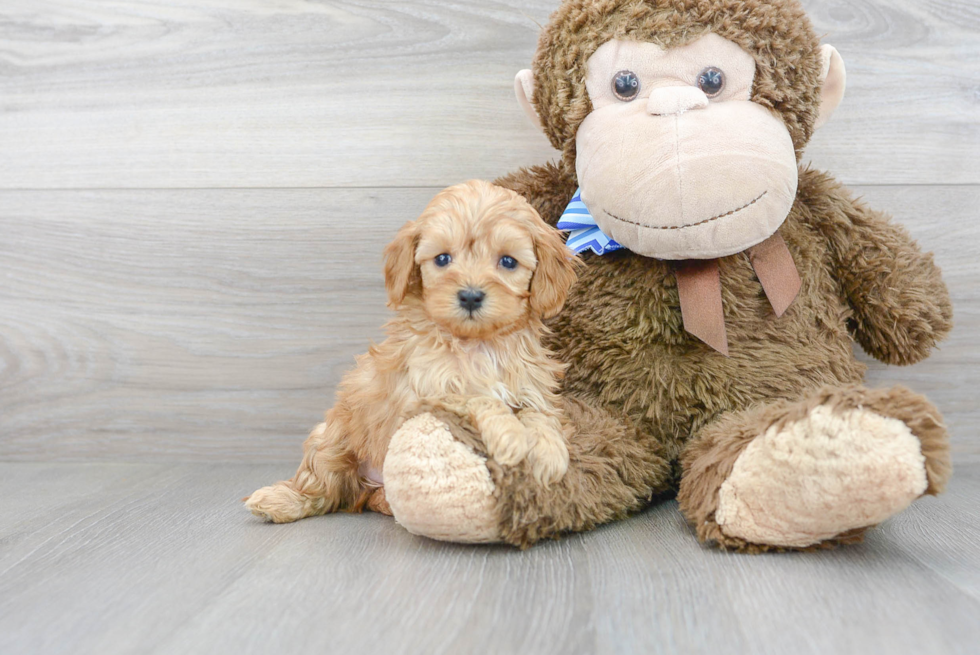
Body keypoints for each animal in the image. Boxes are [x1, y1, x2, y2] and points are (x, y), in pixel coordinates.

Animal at [245, 179, 580, 524]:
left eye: (509, 261)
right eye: (443, 259)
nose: (470, 296)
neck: (477, 344)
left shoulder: (532, 387)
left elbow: (540, 416)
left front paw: (550, 455)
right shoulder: (428, 394)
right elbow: (478, 398)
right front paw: (510, 436)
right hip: (331, 439)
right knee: (322, 488)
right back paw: (278, 500)